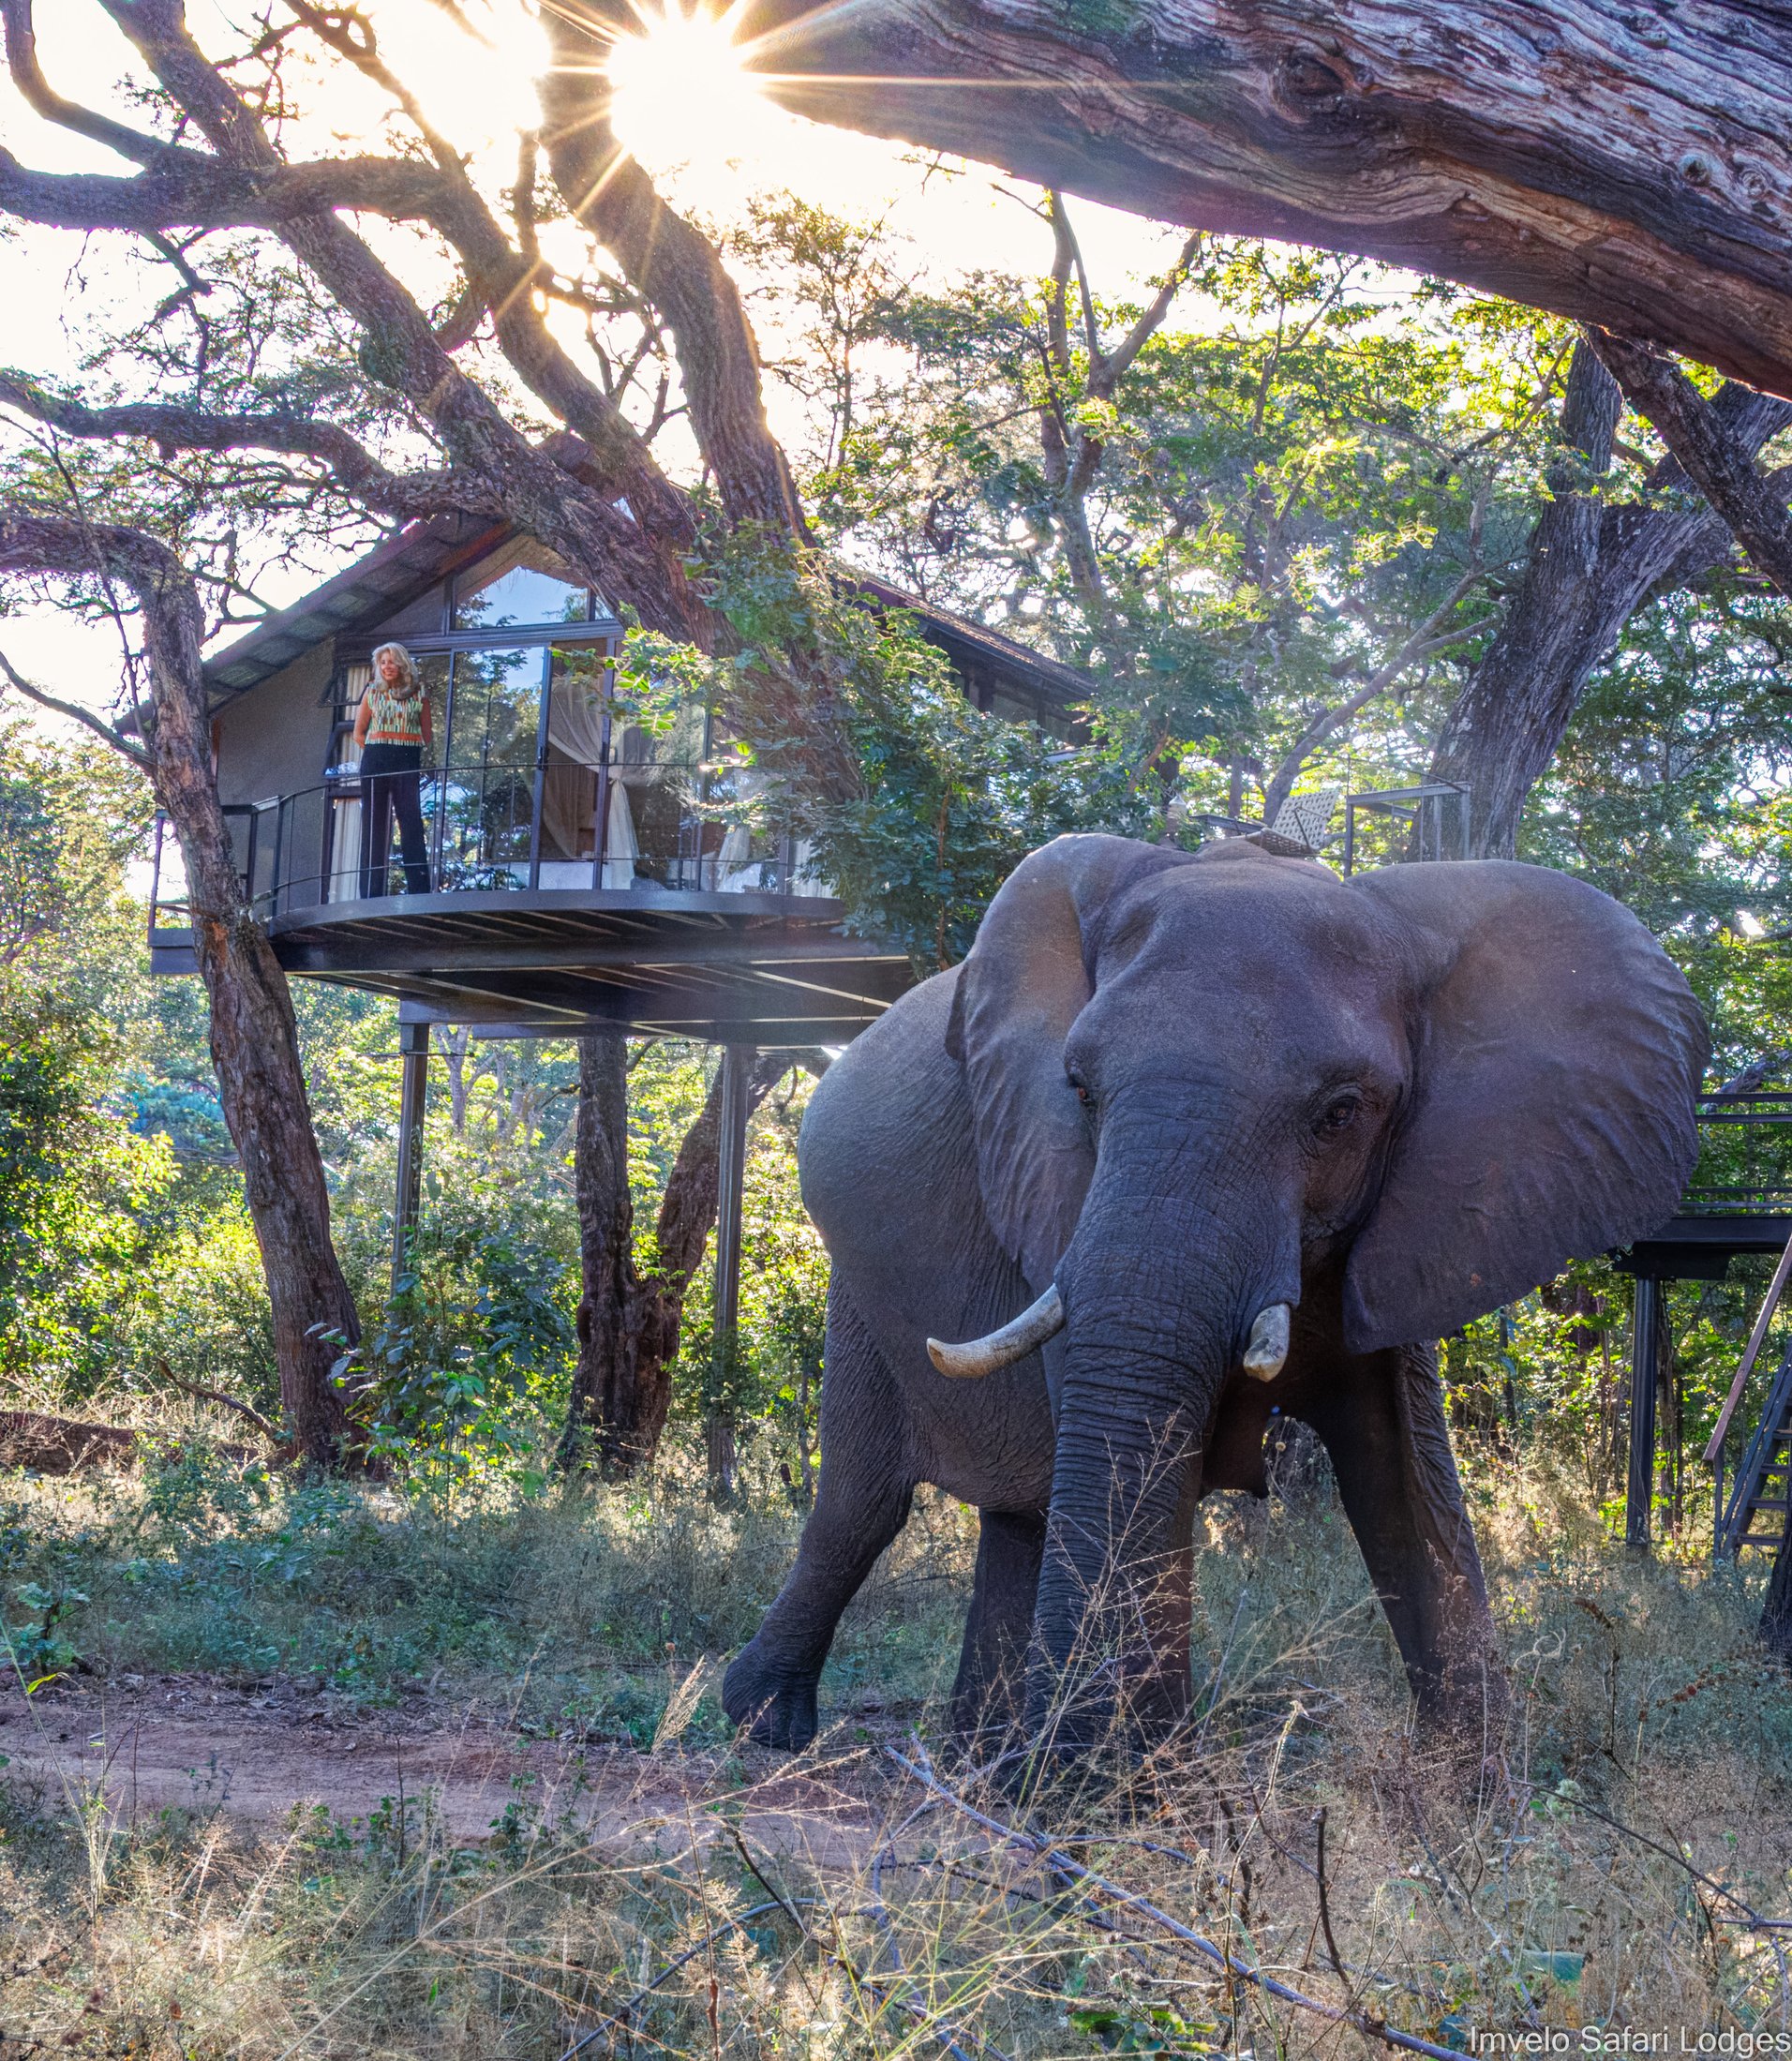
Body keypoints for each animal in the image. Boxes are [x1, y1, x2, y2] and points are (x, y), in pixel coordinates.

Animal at [721, 834, 1708, 1755]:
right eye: (1079, 1089)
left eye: (1342, 1112)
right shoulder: (1054, 1196)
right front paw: (1122, 1800)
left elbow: (1405, 1484)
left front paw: (1476, 1811)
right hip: (856, 1289)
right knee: (864, 1504)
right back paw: (772, 1727)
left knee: (1016, 1509)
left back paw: (985, 1761)